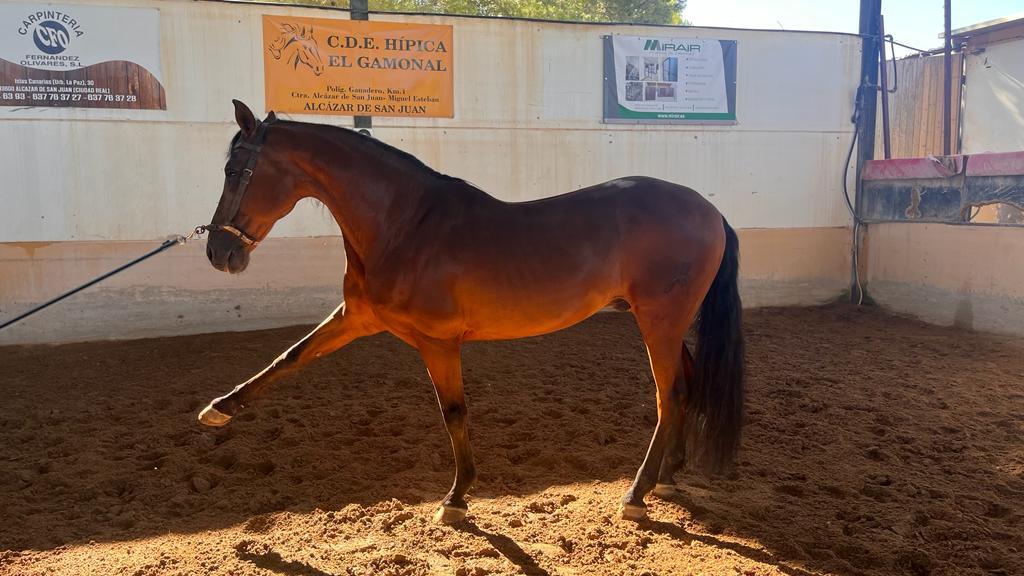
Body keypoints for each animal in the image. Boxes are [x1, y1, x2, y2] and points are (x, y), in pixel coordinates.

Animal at [199, 100, 744, 524]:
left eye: (235, 171)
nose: (220, 254)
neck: (405, 227)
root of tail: (710, 211)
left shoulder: (439, 343)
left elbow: (454, 412)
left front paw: (457, 498)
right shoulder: (357, 318)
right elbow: (290, 357)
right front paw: (219, 410)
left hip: (659, 320)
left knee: (668, 395)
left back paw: (636, 493)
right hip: (667, 324)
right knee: (686, 385)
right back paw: (668, 478)